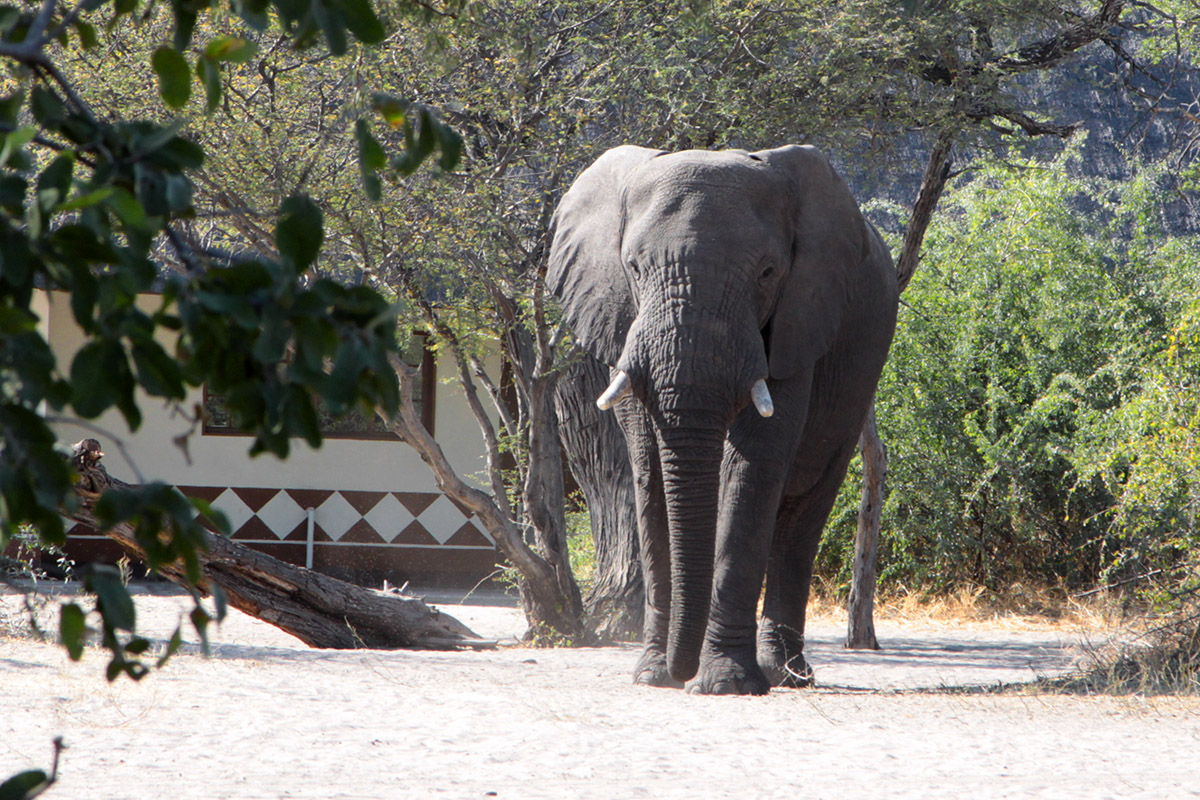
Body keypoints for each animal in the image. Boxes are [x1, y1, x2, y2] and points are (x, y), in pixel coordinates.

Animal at [549, 143, 897, 695]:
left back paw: (786, 675)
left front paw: (724, 684)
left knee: (804, 509)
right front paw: (652, 676)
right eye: (633, 267)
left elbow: (751, 466)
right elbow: (650, 469)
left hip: (861, 371)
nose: (680, 670)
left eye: (767, 273)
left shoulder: (798, 322)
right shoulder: (623, 324)